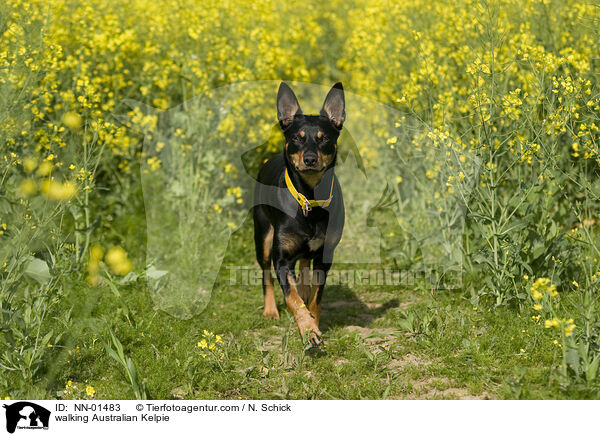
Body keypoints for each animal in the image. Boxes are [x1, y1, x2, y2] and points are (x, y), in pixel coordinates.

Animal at [253, 82, 346, 348]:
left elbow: (316, 296)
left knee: (304, 267)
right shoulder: (281, 259)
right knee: (266, 276)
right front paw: (308, 330)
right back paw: (270, 310)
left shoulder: (325, 255)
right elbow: (293, 298)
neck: (309, 198)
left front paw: (313, 322)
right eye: (297, 138)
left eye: (324, 139)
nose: (310, 158)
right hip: (263, 237)